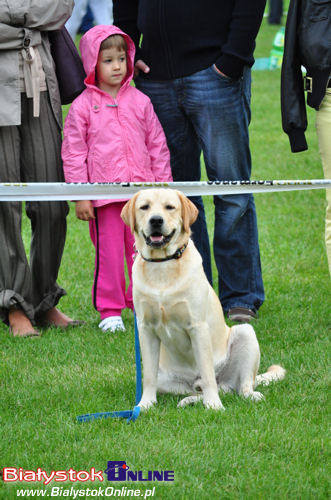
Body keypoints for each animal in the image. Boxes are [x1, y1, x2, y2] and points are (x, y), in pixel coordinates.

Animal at [122, 188, 286, 410]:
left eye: (169, 207)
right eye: (144, 207)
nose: (156, 220)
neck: (163, 264)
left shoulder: (198, 327)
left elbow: (208, 374)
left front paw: (214, 406)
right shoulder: (146, 329)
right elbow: (148, 377)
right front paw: (145, 404)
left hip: (246, 333)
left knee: (238, 386)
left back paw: (248, 395)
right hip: (166, 377)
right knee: (194, 389)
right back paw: (189, 400)